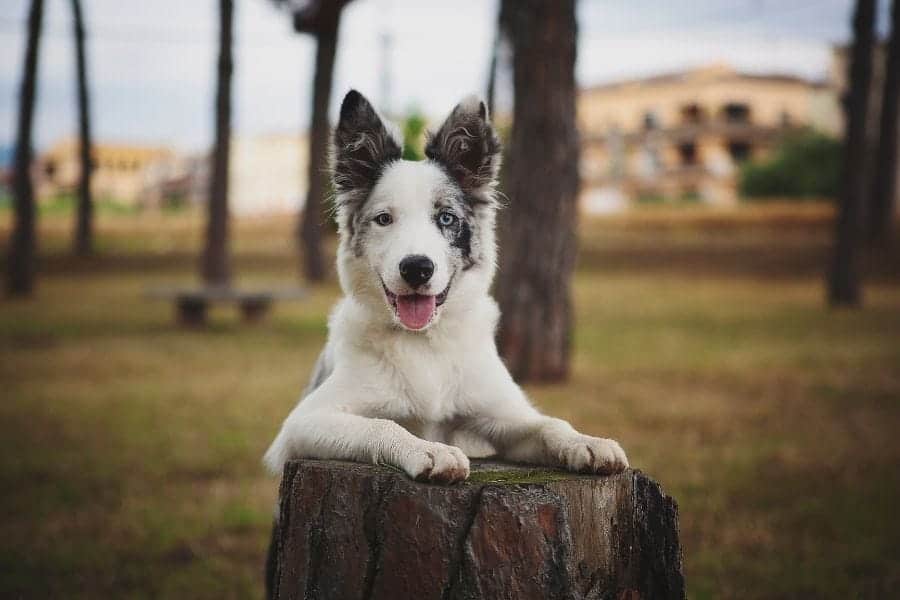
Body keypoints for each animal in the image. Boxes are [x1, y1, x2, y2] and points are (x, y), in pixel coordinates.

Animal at [260, 90, 624, 482]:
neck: (424, 343)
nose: (416, 268)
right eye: (384, 219)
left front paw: (587, 442)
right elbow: (383, 425)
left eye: (446, 218)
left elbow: (548, 423)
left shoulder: (501, 413)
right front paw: (429, 449)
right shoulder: (302, 423)